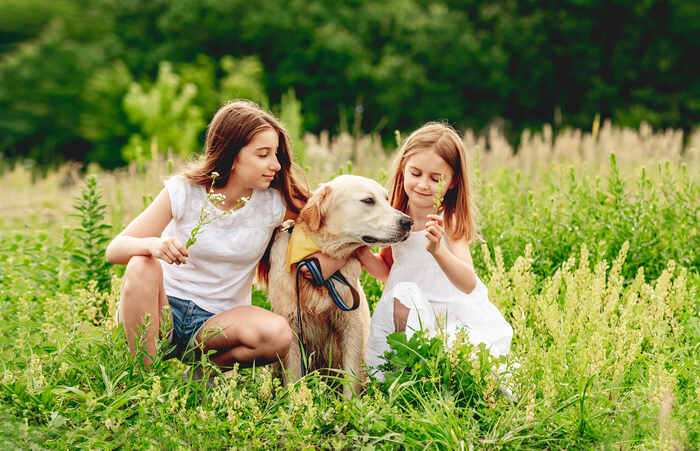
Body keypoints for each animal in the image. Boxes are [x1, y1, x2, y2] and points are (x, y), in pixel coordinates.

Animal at [258, 175, 410, 398]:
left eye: (386, 198)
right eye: (368, 200)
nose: (408, 222)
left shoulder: (352, 323)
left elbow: (351, 374)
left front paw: (350, 404)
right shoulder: (292, 323)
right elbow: (294, 375)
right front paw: (294, 402)